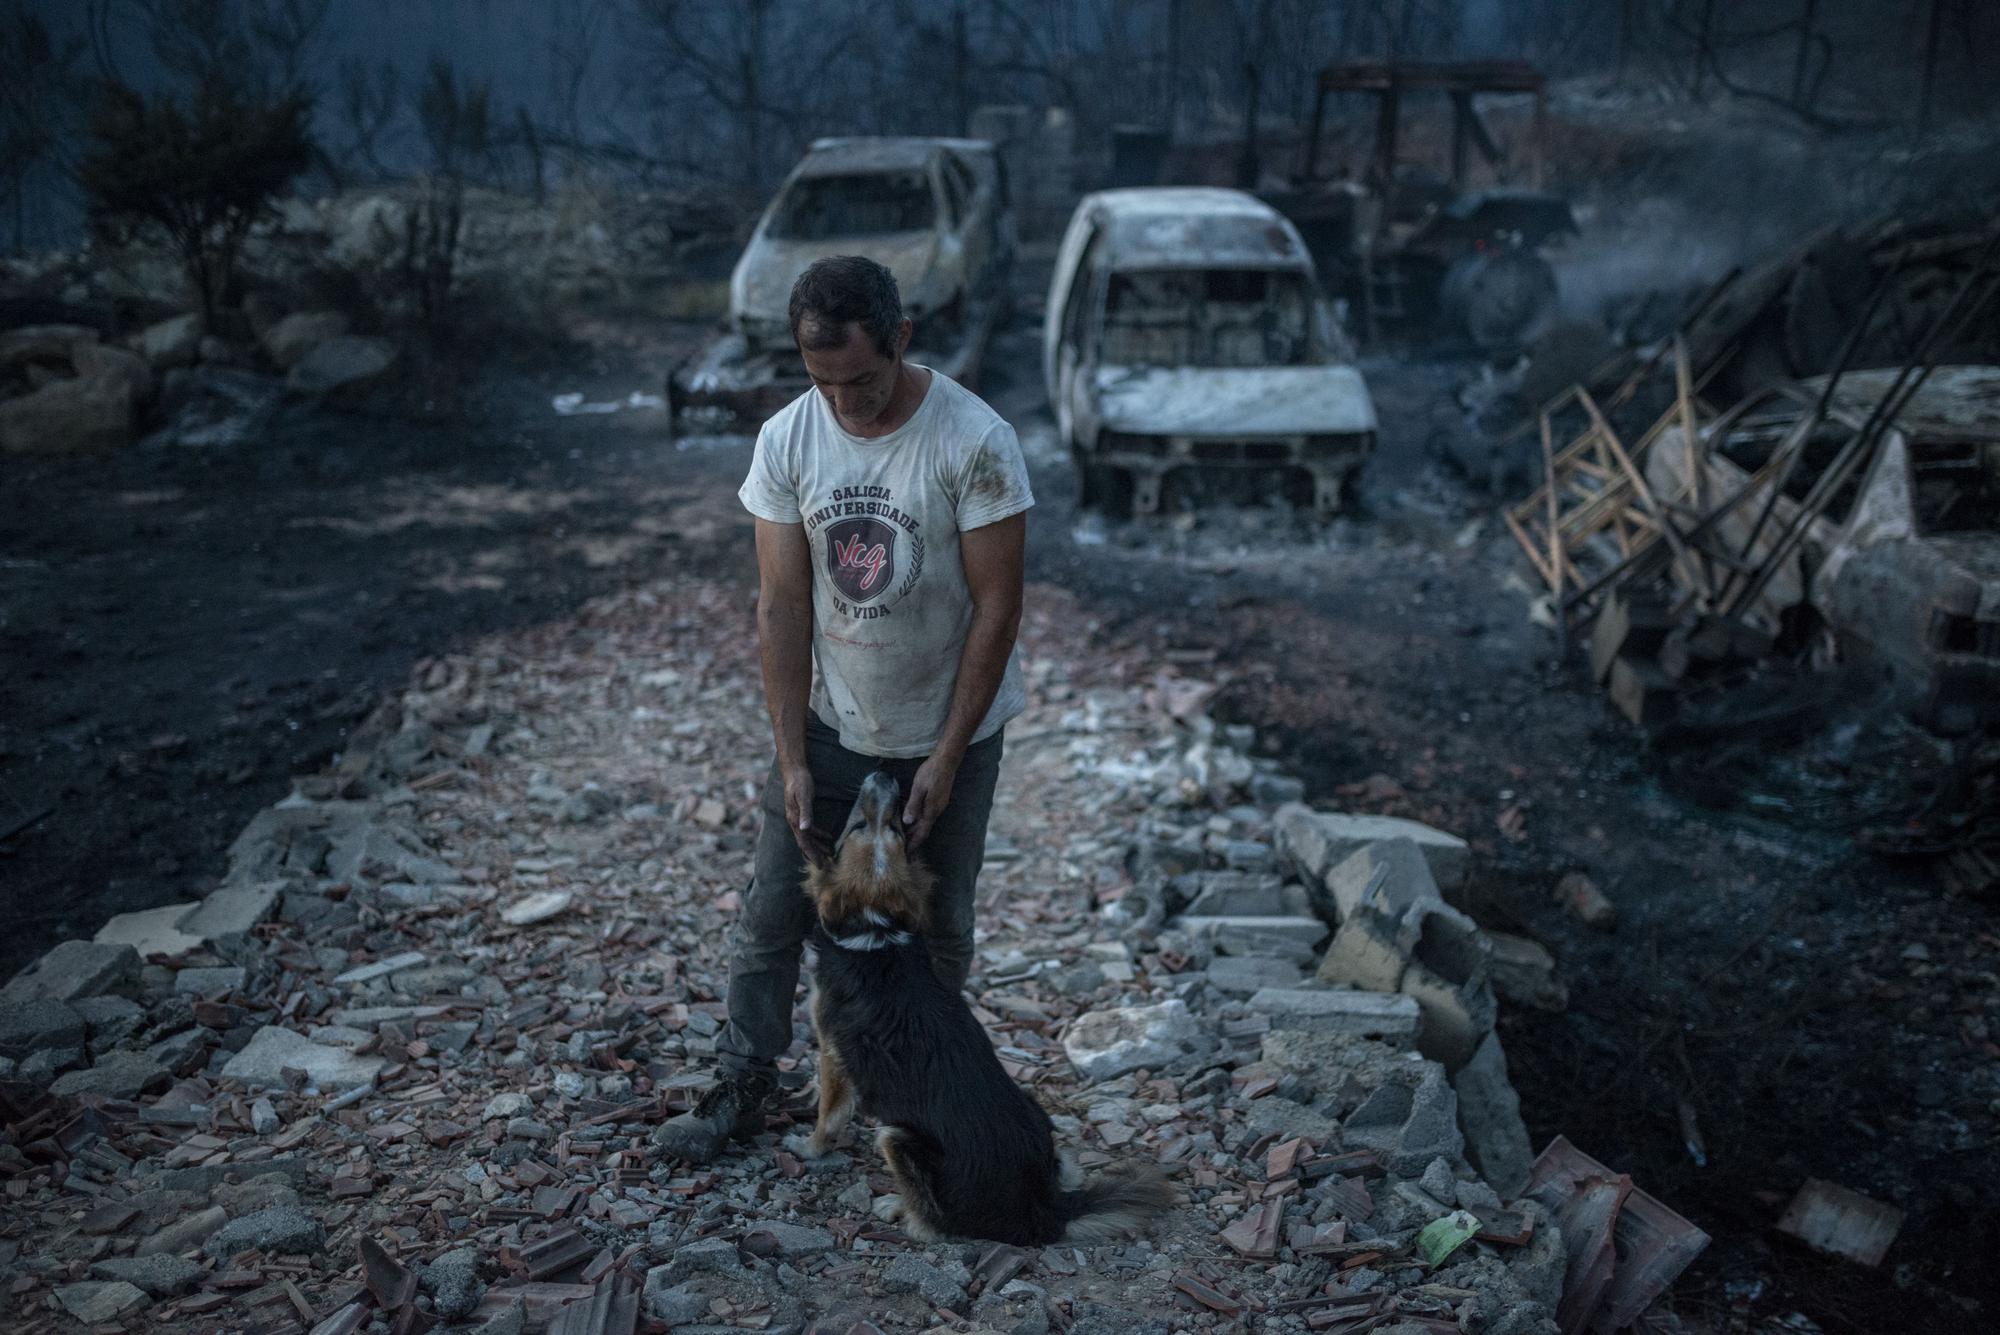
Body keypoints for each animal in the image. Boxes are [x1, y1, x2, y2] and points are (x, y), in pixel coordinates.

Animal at [792, 767, 1176, 1247]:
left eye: (878, 826)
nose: (884, 775)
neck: (875, 929)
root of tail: (1043, 1208)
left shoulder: (831, 1049)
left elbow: (829, 1115)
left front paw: (809, 1149)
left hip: (898, 1138)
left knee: (934, 1226)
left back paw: (897, 1208)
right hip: (1032, 1110)